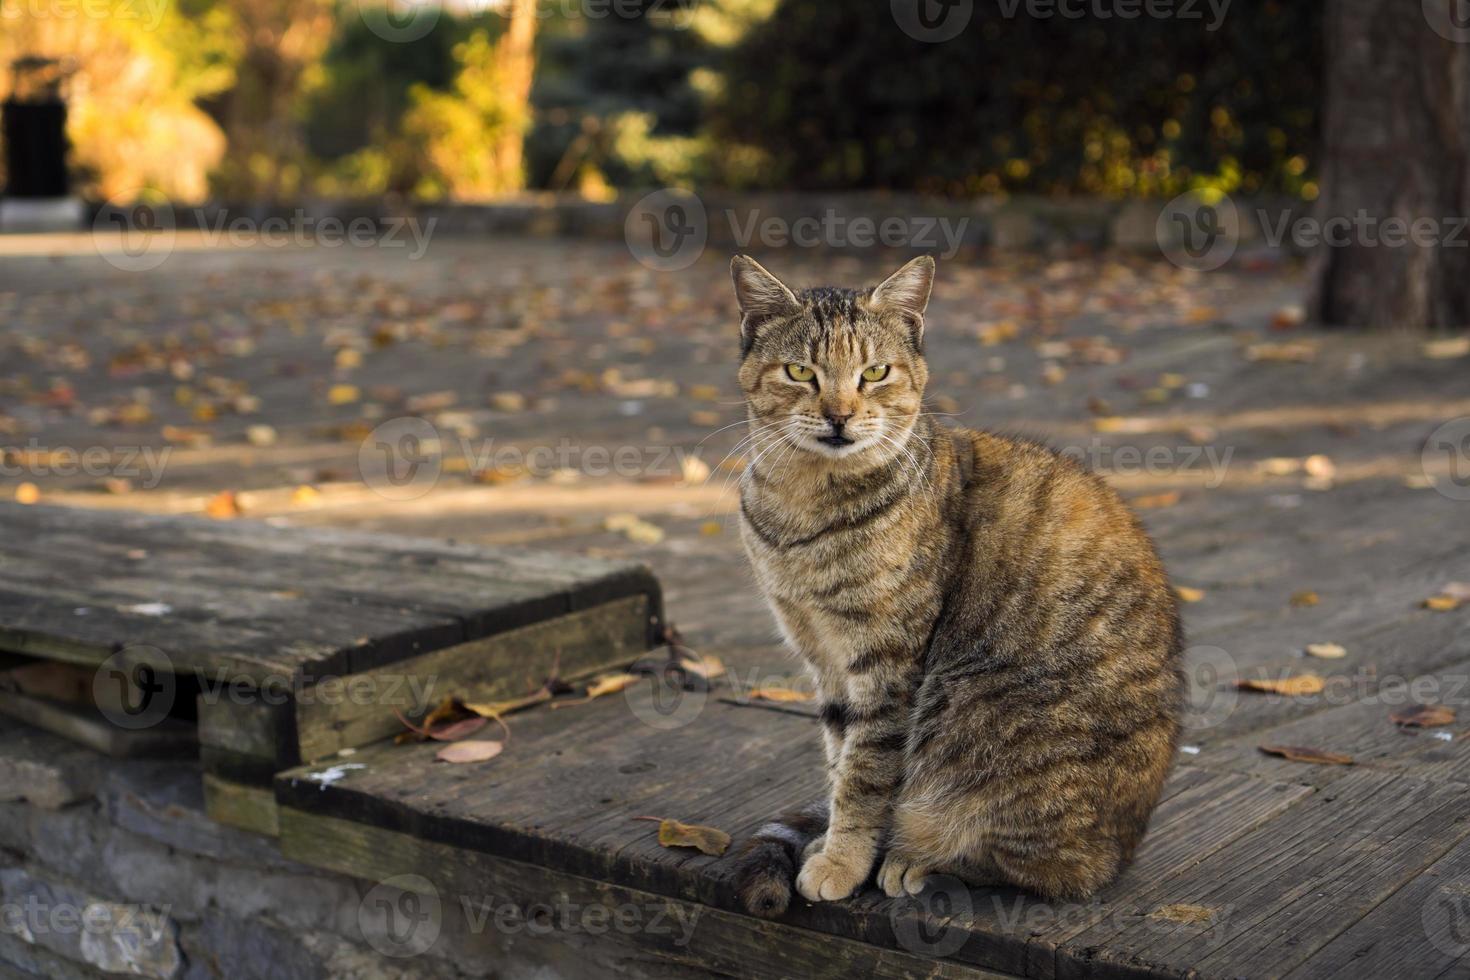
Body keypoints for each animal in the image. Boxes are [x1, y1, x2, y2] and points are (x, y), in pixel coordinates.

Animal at [729, 255, 1187, 922]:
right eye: (799, 372)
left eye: (874, 373)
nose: (840, 416)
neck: (803, 504)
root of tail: (1122, 849)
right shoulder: (825, 657)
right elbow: (840, 758)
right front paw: (836, 843)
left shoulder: (887, 663)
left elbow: (865, 775)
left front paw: (844, 860)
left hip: (984, 727)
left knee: (1037, 866)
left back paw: (915, 856)